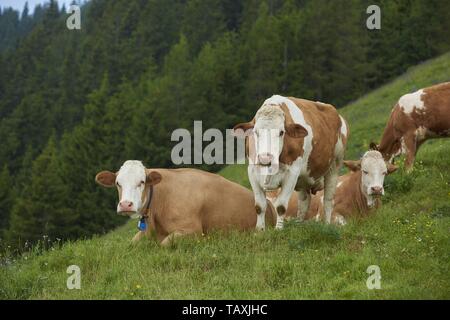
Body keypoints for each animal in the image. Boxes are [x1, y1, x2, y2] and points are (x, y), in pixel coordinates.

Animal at [96, 160, 276, 245]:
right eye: (118, 183)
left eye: (141, 182)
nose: (126, 205)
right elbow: (131, 244)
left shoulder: (193, 230)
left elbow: (165, 243)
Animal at [234, 95, 350, 230]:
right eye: (256, 132)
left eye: (281, 132)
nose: (265, 158)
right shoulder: (252, 171)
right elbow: (259, 206)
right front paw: (260, 230)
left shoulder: (292, 173)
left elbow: (281, 206)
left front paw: (278, 229)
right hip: (305, 178)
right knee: (304, 201)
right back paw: (299, 224)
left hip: (335, 165)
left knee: (328, 199)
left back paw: (326, 224)